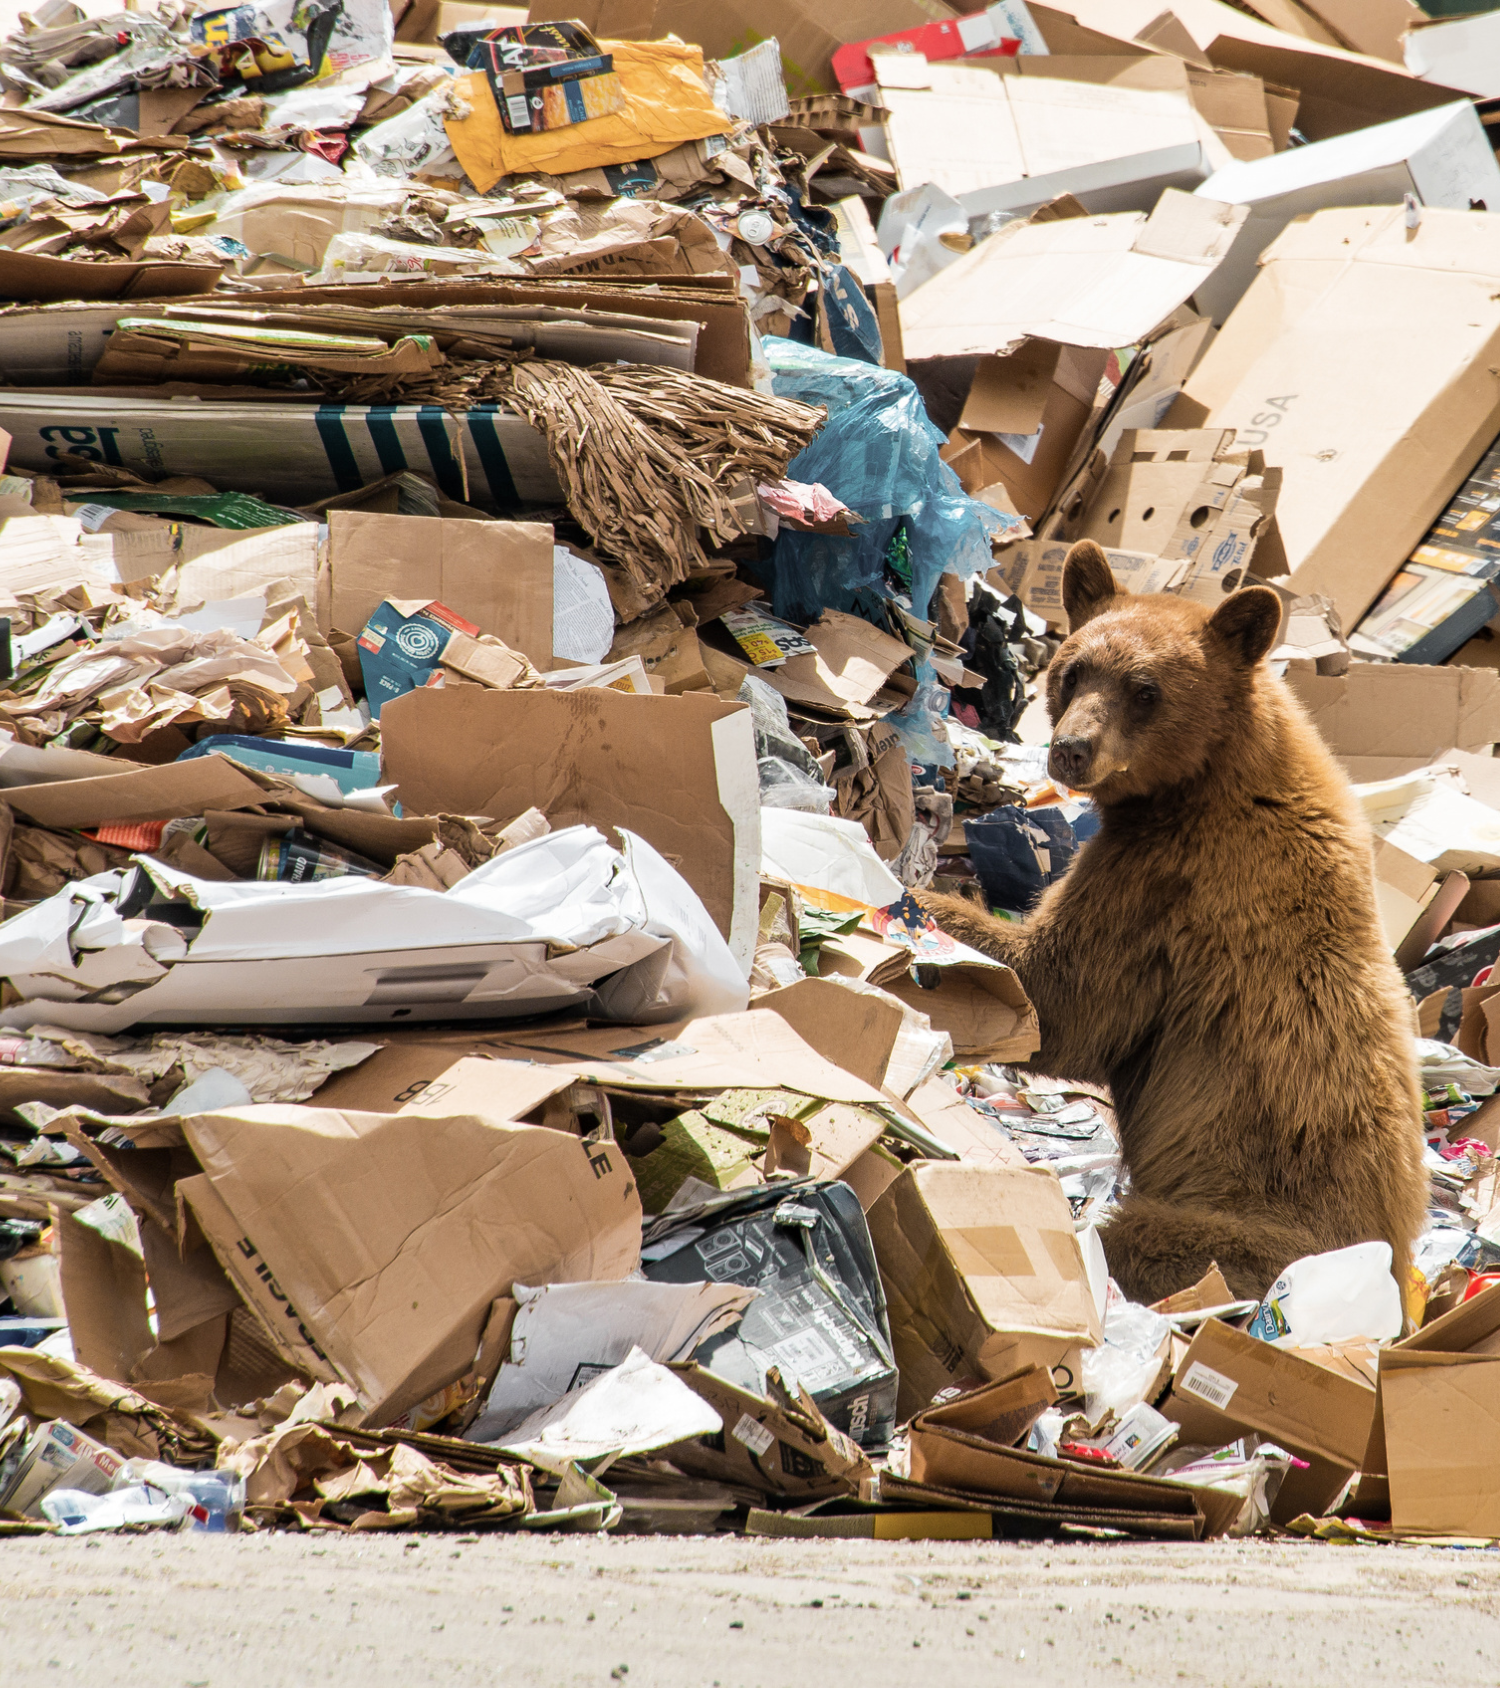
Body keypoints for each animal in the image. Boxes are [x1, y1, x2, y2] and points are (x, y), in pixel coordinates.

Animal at [921, 540, 1428, 1305]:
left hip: (1245, 1234)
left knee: (1141, 1239)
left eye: (1146, 690)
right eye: (1073, 670)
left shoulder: (1170, 887)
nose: (1070, 749)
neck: (1207, 778)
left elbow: (1060, 1004)